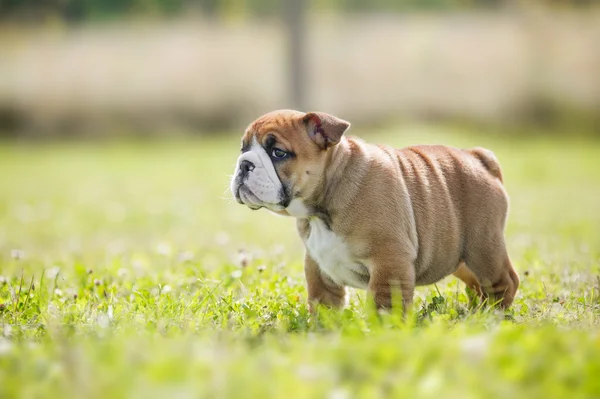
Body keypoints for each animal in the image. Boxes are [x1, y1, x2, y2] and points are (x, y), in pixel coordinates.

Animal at [230, 109, 516, 312]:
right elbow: (323, 304)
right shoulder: (318, 267)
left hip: (482, 248)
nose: (244, 164)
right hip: (459, 258)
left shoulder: (389, 260)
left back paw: (493, 315)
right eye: (243, 148)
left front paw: (383, 331)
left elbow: (384, 304)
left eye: (278, 153)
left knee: (504, 282)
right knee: (477, 285)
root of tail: (477, 157)